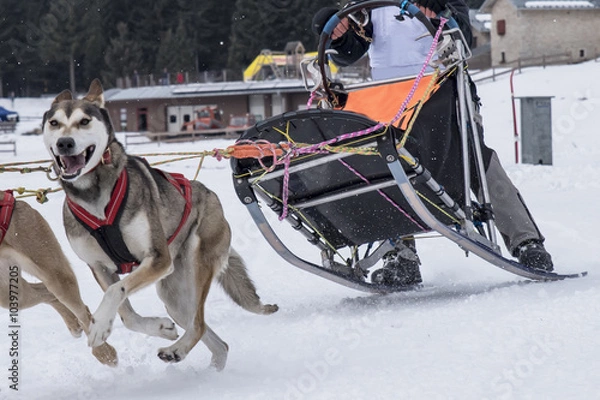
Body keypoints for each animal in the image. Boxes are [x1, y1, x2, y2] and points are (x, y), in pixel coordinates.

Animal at [0, 190, 118, 366]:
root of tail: (15, 200)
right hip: (11, 294)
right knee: (48, 293)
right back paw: (73, 324)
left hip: (53, 274)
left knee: (81, 312)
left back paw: (104, 352)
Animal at [41, 79, 278, 368]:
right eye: (54, 123)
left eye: (84, 121)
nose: (64, 143)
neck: (93, 197)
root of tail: (211, 195)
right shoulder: (100, 267)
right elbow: (126, 315)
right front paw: (158, 328)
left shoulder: (157, 259)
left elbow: (116, 291)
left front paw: (98, 326)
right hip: (174, 296)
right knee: (214, 339)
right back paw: (200, 361)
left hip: (196, 267)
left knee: (199, 324)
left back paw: (179, 350)